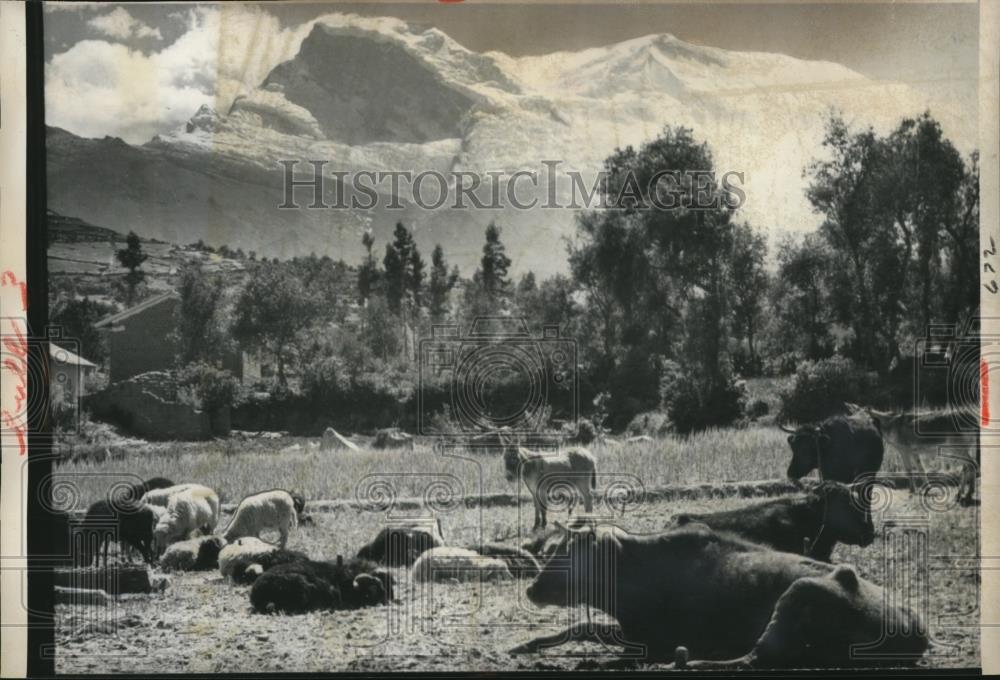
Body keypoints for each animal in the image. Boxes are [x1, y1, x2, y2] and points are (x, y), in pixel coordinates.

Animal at [516, 520, 928, 668]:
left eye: (568, 554)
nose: (532, 589)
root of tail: (918, 629)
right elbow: (581, 626)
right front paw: (527, 644)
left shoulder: (647, 641)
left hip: (798, 593)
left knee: (755, 658)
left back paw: (688, 662)